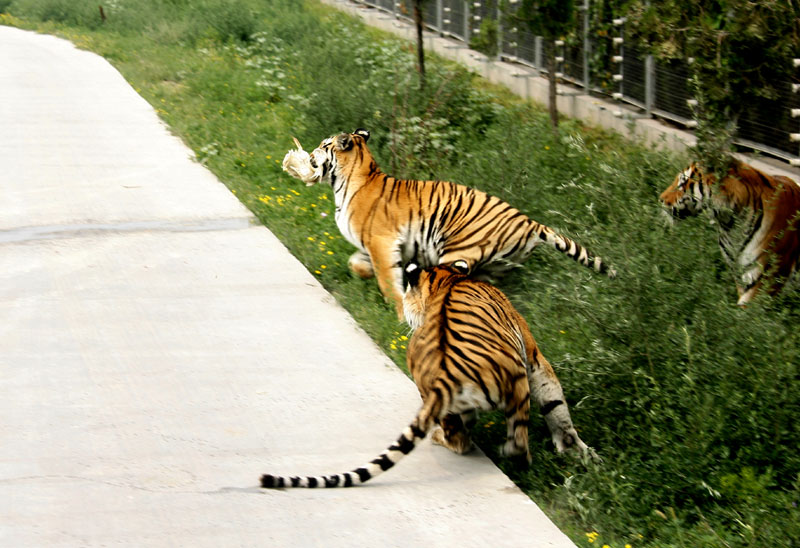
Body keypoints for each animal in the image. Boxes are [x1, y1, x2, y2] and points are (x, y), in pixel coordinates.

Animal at [260, 260, 592, 490]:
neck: (449, 279)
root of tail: (447, 374)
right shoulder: (534, 360)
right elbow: (556, 406)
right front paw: (577, 450)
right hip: (516, 383)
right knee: (512, 440)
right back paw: (515, 457)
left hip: (438, 395)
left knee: (458, 433)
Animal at [284, 127, 616, 322]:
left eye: (324, 145)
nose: (310, 153)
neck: (352, 178)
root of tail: (531, 223)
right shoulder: (380, 246)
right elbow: (357, 264)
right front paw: (364, 274)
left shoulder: (381, 242)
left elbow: (387, 280)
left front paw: (399, 311)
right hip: (493, 268)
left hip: (458, 252)